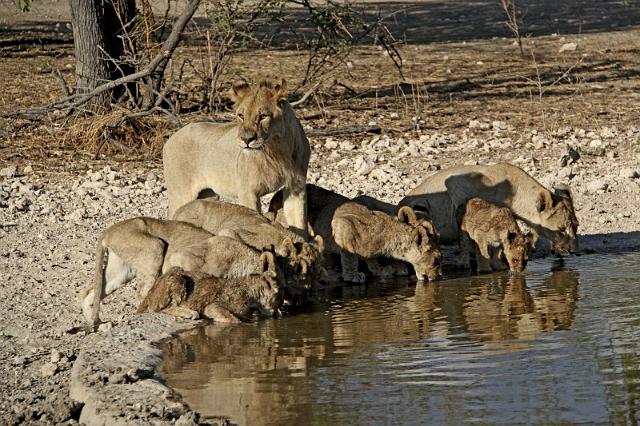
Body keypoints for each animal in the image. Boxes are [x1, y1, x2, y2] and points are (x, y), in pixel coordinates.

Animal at [139, 256, 282, 322]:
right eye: (278, 296)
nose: (278, 312)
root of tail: (149, 294)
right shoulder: (213, 307)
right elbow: (234, 319)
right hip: (177, 278)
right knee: (159, 309)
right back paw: (189, 313)